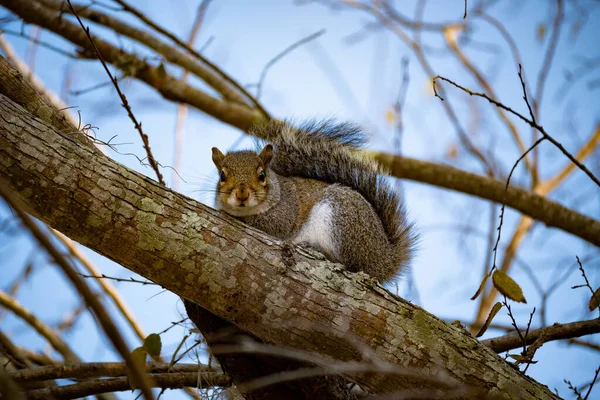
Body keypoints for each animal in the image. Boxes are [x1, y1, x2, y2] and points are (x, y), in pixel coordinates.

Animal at [212, 119, 418, 282]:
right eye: (222, 176)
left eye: (262, 175)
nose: (242, 195)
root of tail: (385, 259)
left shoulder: (287, 209)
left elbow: (273, 223)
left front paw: (238, 217)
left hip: (344, 220)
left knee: (353, 264)